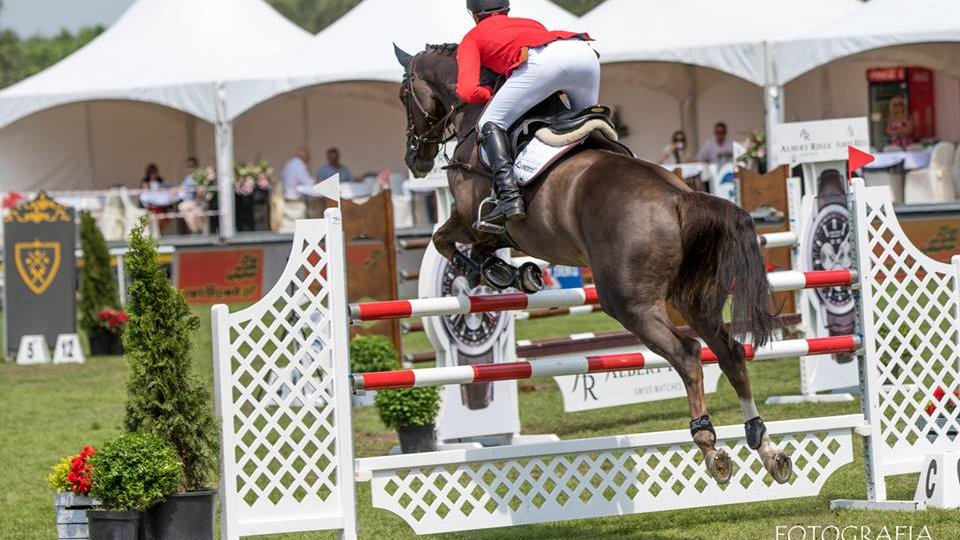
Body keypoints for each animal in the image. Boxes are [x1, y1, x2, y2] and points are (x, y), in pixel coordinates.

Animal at [394, 43, 792, 486]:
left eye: (403, 96)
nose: (415, 159)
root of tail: (680, 197)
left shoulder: (471, 218)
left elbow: (444, 240)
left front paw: (494, 272)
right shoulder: (491, 232)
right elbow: (471, 250)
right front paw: (513, 273)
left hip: (629, 304)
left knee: (688, 354)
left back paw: (709, 447)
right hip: (694, 298)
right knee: (730, 352)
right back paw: (766, 447)